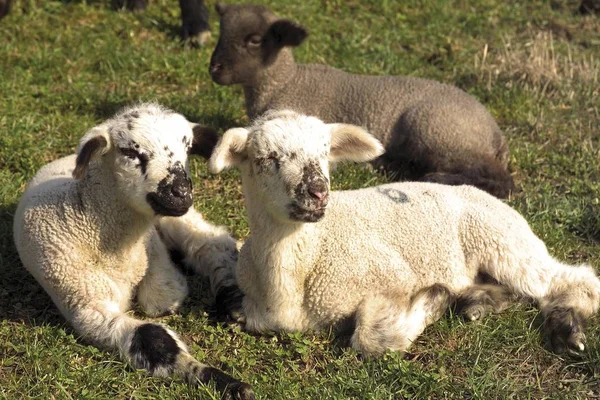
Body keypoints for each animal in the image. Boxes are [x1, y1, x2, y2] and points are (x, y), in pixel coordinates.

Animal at [13, 104, 253, 400]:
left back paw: (233, 300)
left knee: (211, 244)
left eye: (187, 147)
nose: (181, 191)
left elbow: (163, 299)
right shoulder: (85, 305)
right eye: (130, 152)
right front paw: (223, 381)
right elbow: (153, 337)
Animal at [209, 1, 512, 198]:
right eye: (220, 33)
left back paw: (433, 178)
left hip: (439, 133)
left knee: (504, 182)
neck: (285, 82)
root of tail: (496, 134)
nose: (214, 69)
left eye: (255, 40)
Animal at [209, 110, 600, 356]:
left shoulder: (392, 276)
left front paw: (433, 301)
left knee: (573, 281)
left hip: (501, 239)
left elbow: (368, 337)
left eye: (325, 153)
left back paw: (568, 331)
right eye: (266, 158)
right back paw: (478, 304)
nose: (318, 192)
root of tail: (483, 195)